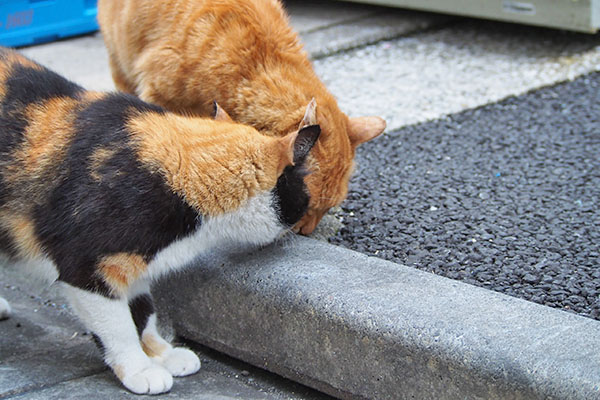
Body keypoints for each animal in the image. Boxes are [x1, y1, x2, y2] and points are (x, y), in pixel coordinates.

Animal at [0, 48, 322, 396]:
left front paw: (162, 355)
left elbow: (143, 312)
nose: (303, 222)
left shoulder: (136, 267)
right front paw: (140, 369)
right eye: (303, 194)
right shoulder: (88, 269)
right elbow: (119, 327)